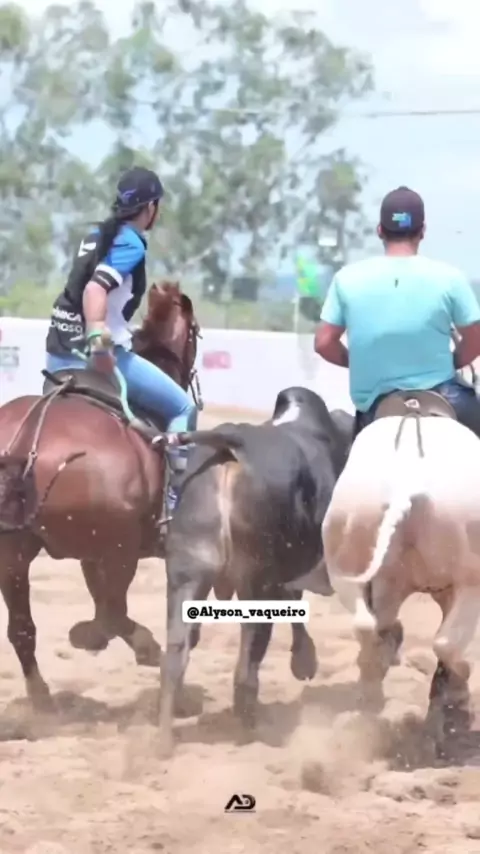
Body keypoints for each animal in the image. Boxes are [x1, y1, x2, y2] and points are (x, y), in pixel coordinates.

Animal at [0, 281, 201, 708]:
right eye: (194, 333)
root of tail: (28, 436)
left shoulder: (90, 554)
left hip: (16, 553)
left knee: (24, 628)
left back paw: (43, 698)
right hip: (119, 545)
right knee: (110, 613)